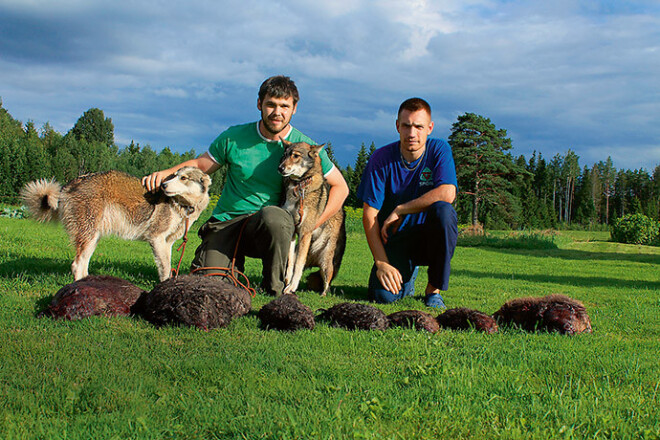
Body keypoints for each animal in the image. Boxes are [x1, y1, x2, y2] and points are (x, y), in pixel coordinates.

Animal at [20, 167, 210, 280]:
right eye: (173, 176)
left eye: (183, 178)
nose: (163, 185)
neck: (181, 204)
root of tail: (69, 185)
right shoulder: (156, 239)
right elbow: (165, 268)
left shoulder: (167, 243)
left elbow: (167, 266)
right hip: (88, 234)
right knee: (77, 265)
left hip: (93, 237)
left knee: (83, 263)